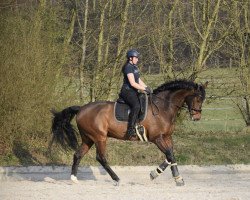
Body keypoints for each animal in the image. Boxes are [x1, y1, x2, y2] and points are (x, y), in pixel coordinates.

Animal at [50, 79, 207, 186]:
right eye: (198, 98)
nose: (197, 117)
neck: (163, 107)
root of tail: (81, 108)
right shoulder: (157, 138)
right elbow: (169, 155)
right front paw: (158, 175)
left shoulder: (167, 137)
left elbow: (171, 156)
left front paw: (173, 178)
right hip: (100, 137)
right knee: (101, 158)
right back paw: (116, 179)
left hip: (88, 139)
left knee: (78, 155)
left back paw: (74, 179)